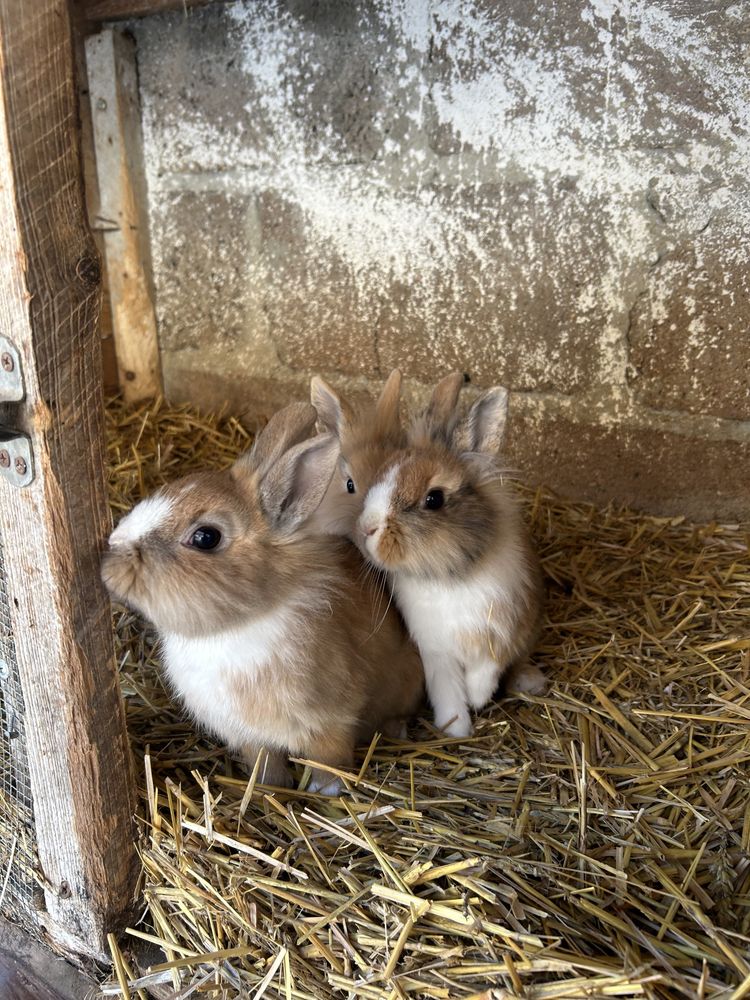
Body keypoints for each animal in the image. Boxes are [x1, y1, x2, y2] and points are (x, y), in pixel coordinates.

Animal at [102, 402, 426, 792]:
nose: (110, 558)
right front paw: (265, 790)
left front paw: (324, 790)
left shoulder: (331, 720)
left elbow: (329, 761)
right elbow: (265, 763)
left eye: (206, 537)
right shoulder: (250, 736)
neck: (236, 627)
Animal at [356, 372, 544, 740]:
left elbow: (486, 671)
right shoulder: (435, 651)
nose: (367, 527)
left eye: (434, 499)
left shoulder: (502, 631)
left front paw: (478, 698)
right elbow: (447, 691)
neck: (445, 578)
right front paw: (456, 728)